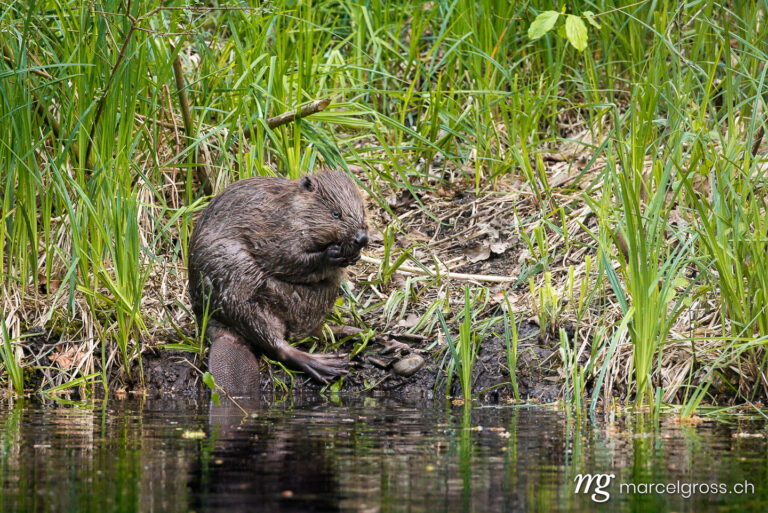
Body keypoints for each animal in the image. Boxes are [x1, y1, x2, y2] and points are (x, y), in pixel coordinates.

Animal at [185, 170, 366, 390]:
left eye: (362, 210)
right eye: (336, 213)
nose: (362, 238)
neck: (291, 209)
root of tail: (224, 335)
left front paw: (354, 256)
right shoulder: (276, 230)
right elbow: (284, 258)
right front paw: (331, 254)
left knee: (308, 331)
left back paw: (352, 331)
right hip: (242, 299)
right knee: (277, 343)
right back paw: (327, 365)